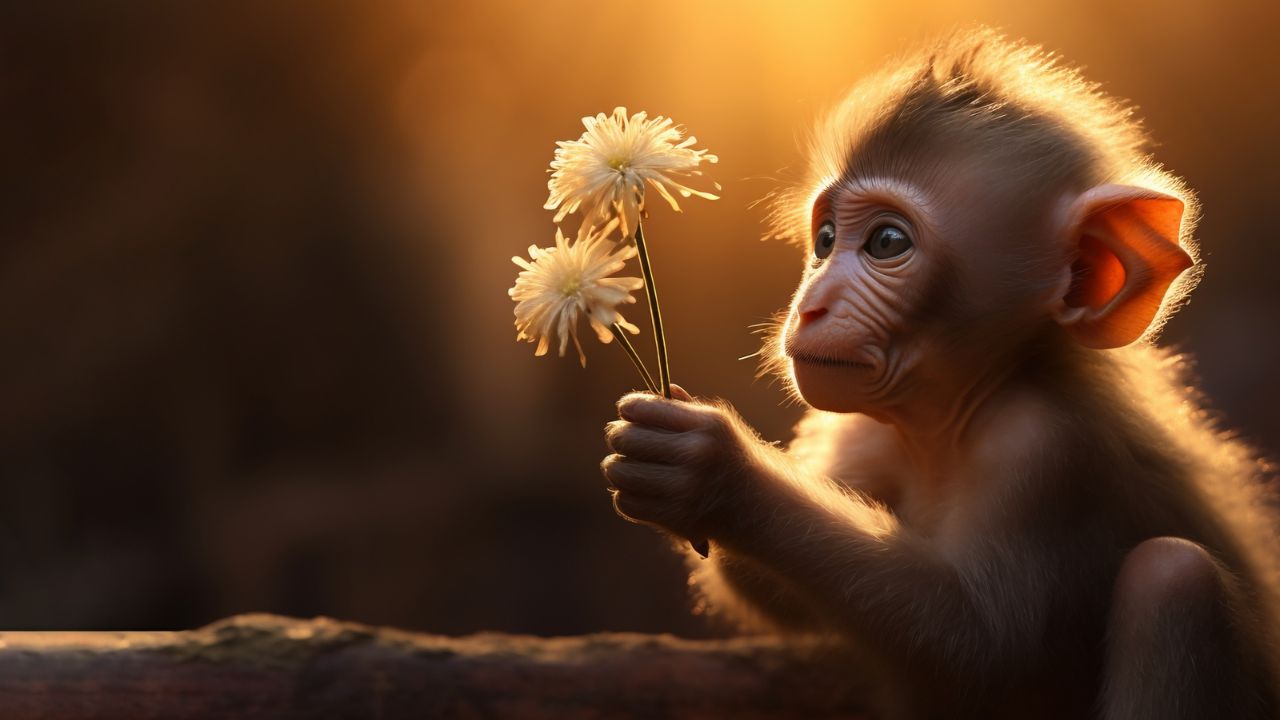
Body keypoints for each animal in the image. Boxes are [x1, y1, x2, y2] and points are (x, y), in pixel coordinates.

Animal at [600, 28, 1280, 720]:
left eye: (887, 243)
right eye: (825, 240)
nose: (811, 305)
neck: (950, 418)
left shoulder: (1041, 446)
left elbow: (978, 644)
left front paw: (716, 474)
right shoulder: (863, 432)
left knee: (1173, 577)